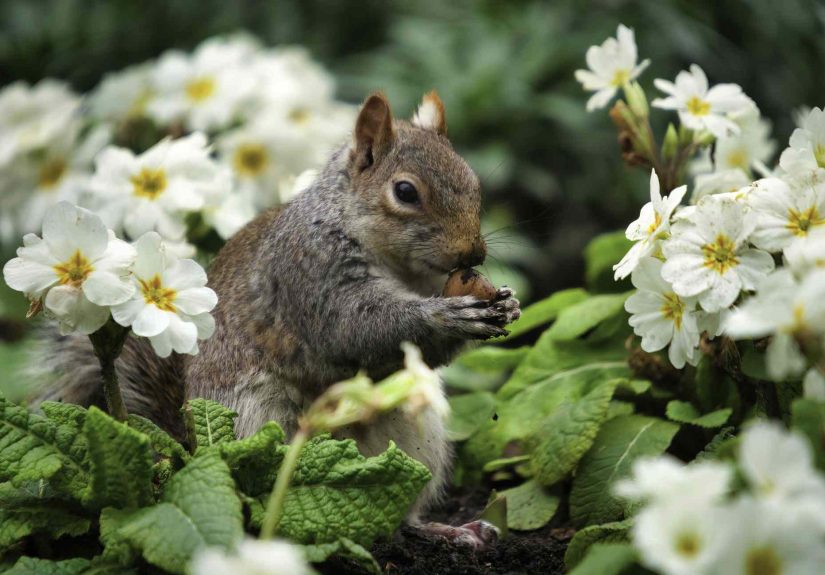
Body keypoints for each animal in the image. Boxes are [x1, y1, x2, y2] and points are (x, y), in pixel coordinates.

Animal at [38, 91, 521, 545]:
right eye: (405, 192)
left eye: (472, 180)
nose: (473, 253)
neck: (396, 263)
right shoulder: (309, 273)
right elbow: (358, 329)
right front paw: (447, 315)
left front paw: (507, 303)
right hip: (257, 422)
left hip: (415, 434)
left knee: (398, 509)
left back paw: (446, 529)